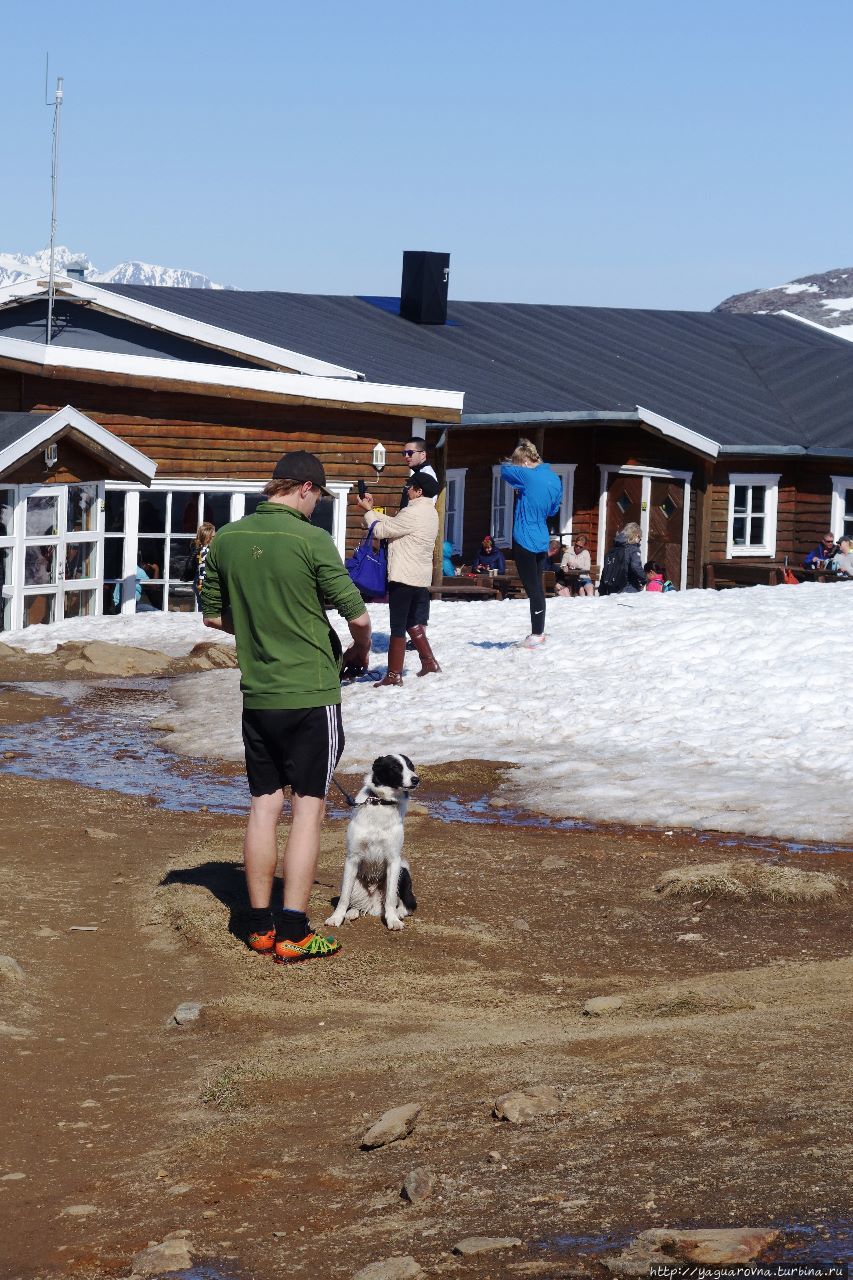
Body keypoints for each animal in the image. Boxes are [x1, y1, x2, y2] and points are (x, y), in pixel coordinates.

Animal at [325, 752, 417, 936]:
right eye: (395, 767)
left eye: (411, 766)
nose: (416, 779)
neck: (381, 802)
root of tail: (374, 905)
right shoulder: (352, 859)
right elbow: (344, 897)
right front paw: (337, 918)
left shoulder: (394, 860)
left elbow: (391, 898)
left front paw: (392, 920)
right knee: (355, 902)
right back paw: (352, 912)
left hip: (403, 871)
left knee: (406, 904)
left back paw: (398, 913)